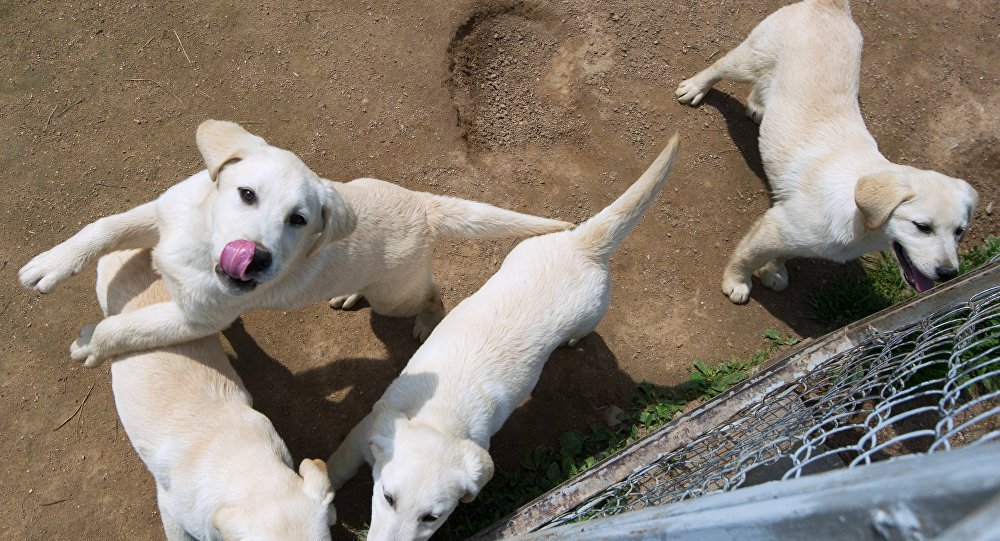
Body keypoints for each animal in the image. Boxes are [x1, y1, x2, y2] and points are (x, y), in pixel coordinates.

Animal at [17, 121, 572, 368]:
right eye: (246, 194)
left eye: (298, 220)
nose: (257, 260)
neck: (198, 246)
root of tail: (421, 204)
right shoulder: (161, 214)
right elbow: (102, 226)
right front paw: (50, 264)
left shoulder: (198, 319)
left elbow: (129, 327)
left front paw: (92, 343)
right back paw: (349, 292)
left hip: (397, 294)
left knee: (431, 292)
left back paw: (426, 320)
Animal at [326, 136, 680, 540]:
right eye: (388, 497)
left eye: (432, 517)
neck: (441, 414)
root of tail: (582, 244)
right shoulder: (366, 428)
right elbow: (338, 464)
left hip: (592, 311)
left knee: (583, 332)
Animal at [672, 0, 976, 304]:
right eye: (922, 226)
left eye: (959, 232)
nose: (949, 274)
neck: (858, 216)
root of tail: (830, 5)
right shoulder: (776, 227)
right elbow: (747, 256)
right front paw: (737, 282)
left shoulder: (792, 234)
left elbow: (784, 254)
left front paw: (774, 272)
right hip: (750, 58)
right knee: (720, 66)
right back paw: (694, 88)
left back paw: (758, 107)